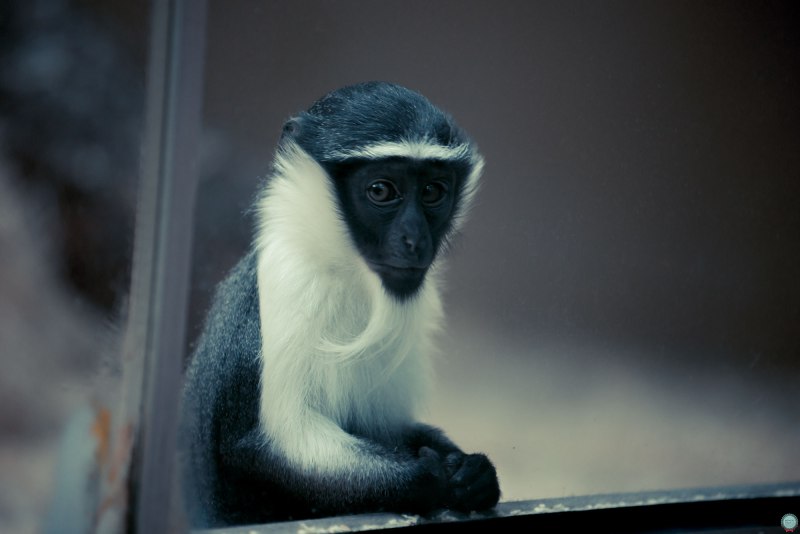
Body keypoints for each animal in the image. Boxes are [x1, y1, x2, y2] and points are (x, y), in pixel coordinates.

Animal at [179, 81, 500, 527]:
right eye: (381, 190)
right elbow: (274, 443)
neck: (348, 274)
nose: (415, 240)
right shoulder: (292, 286)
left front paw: (474, 473)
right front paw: (430, 479)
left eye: (433, 192)